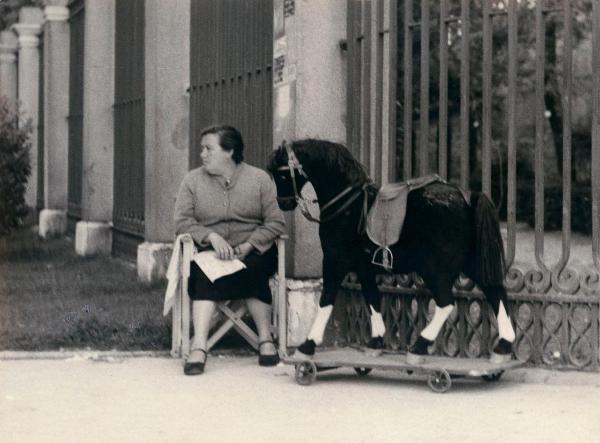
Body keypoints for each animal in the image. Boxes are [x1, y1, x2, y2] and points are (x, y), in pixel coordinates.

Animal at [268, 140, 516, 364]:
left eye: (282, 175)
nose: (284, 203)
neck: (349, 204)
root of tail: (468, 197)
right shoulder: (364, 268)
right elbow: (372, 299)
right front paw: (376, 341)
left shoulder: (334, 261)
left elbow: (326, 299)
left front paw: (307, 345)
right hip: (470, 264)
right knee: (495, 292)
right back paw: (504, 346)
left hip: (435, 269)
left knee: (447, 303)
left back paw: (419, 346)